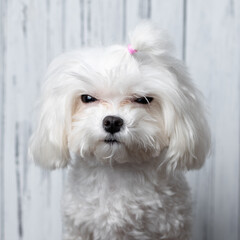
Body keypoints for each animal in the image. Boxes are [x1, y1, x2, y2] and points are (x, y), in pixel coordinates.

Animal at [29, 21, 210, 239]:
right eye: (87, 98)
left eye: (143, 99)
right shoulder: (78, 228)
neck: (116, 169)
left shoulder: (171, 228)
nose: (112, 122)